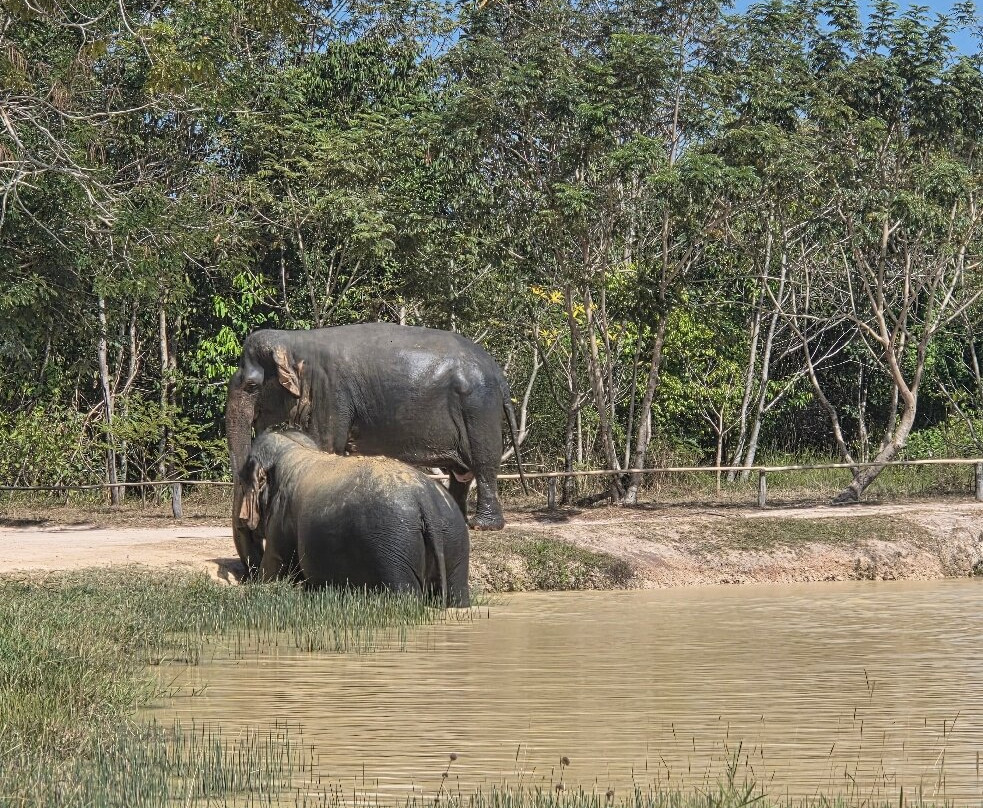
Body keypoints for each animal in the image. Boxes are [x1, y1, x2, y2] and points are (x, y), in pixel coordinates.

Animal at [226, 323, 526, 576]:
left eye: (251, 386)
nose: (250, 569)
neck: (294, 341)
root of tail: (497, 372)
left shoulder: (331, 393)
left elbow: (325, 443)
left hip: (479, 407)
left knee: (484, 464)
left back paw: (483, 525)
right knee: (461, 472)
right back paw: (462, 519)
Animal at [238, 429, 471, 607]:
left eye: (241, 481)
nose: (244, 519)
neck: (295, 448)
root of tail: (426, 501)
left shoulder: (281, 515)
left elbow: (275, 566)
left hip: (393, 549)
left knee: (404, 597)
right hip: (454, 536)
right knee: (457, 592)